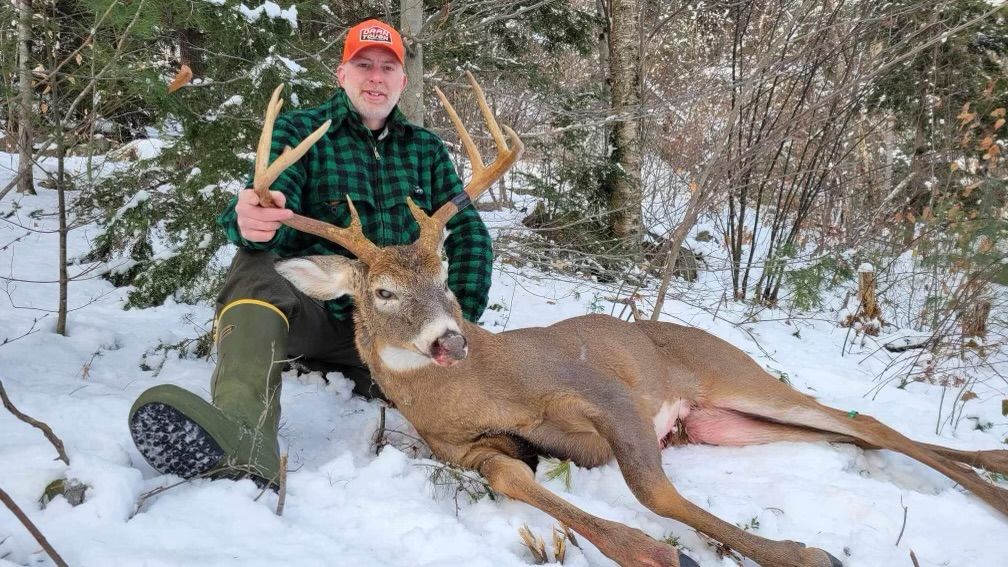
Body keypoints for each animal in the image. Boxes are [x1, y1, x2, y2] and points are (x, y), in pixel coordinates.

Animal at [249, 73, 1008, 567]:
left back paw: (991, 486)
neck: (484, 389)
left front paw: (798, 554)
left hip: (730, 373)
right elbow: (516, 480)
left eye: (443, 276)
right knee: (847, 432)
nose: (450, 340)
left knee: (866, 421)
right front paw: (654, 553)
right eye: (381, 291)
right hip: (717, 422)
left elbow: (652, 486)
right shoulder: (467, 450)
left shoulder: (604, 390)